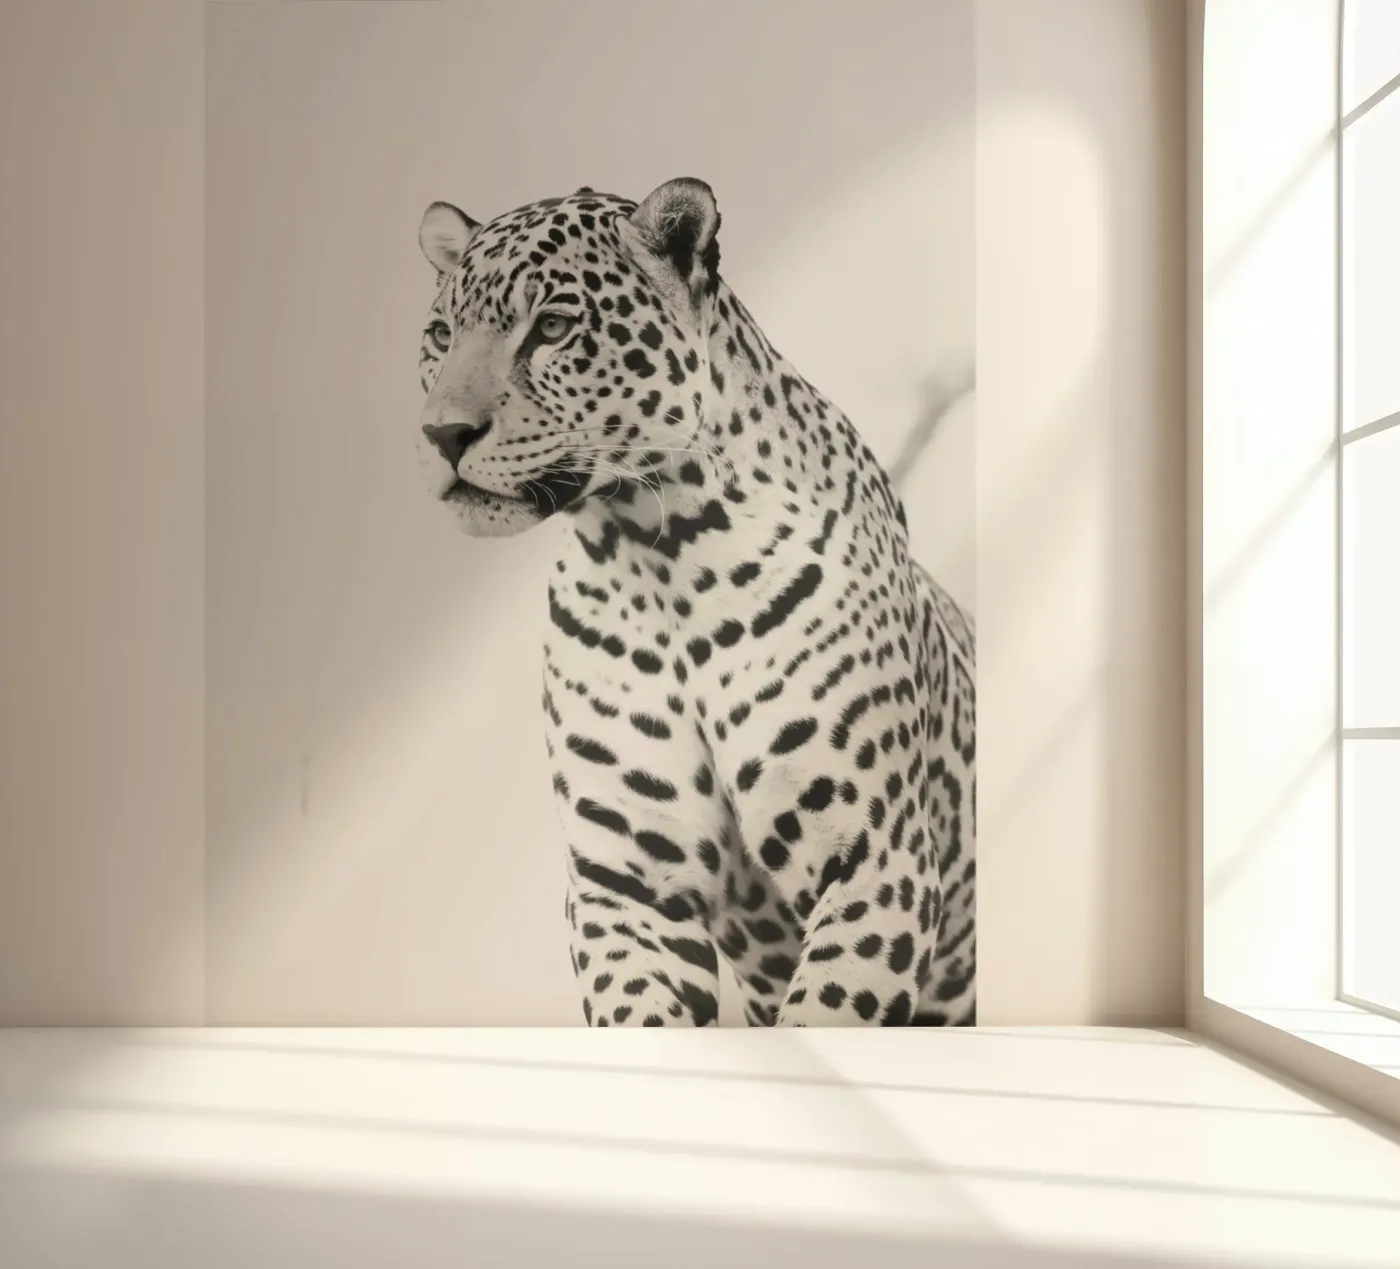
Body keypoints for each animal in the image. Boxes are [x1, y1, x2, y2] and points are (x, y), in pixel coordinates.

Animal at [413, 177, 975, 1027]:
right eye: (441, 335)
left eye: (551, 327)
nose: (444, 434)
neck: (657, 555)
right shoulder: (625, 884)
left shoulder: (877, 857)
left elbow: (825, 1013)